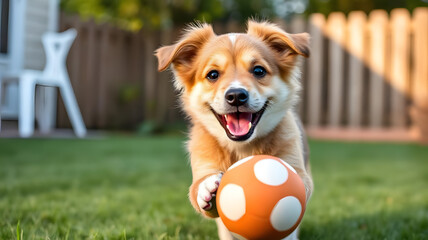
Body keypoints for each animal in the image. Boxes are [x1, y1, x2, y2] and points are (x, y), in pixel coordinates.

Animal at [155, 20, 312, 240]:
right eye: (213, 75)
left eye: (258, 71)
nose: (236, 95)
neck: (242, 148)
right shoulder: (203, 163)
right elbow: (197, 190)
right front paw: (207, 186)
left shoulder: (297, 167)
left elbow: (300, 186)